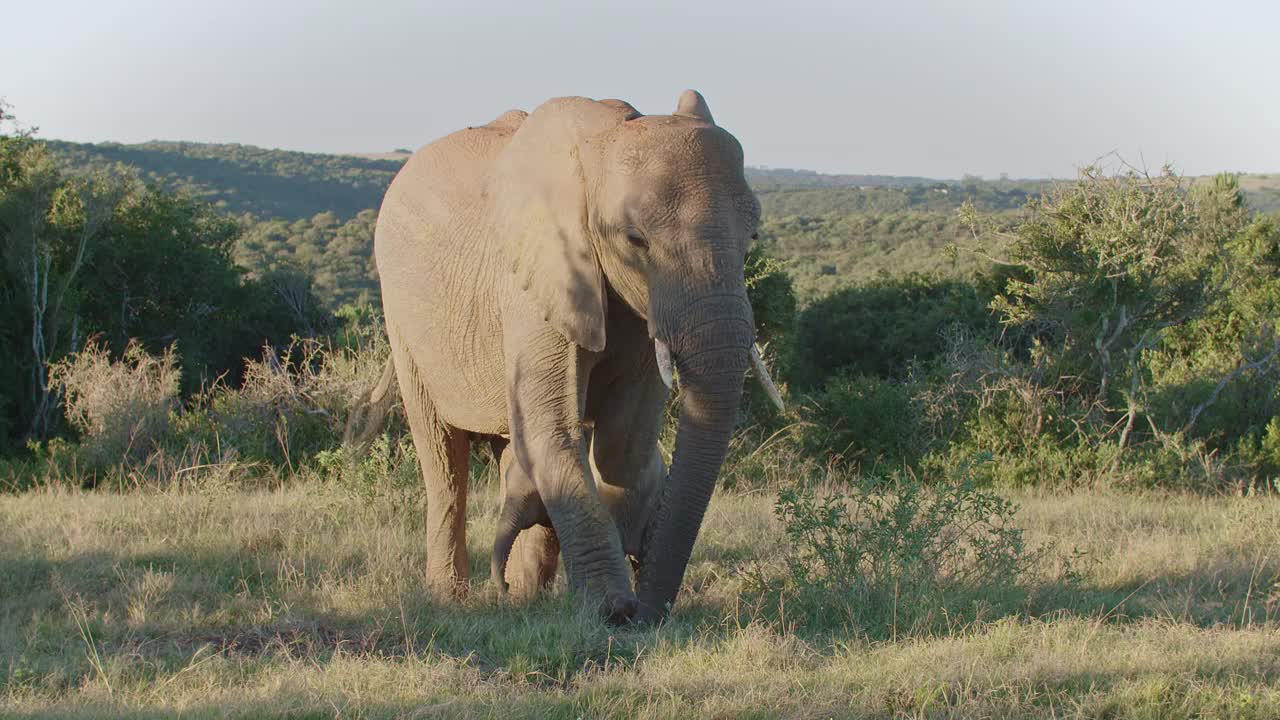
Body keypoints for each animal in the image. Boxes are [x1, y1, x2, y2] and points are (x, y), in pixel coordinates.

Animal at [373, 89, 778, 622]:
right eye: (635, 239)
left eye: (752, 238)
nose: (648, 613)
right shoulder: (537, 276)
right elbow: (553, 425)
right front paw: (609, 609)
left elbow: (622, 442)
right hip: (402, 319)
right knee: (442, 457)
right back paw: (451, 601)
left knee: (512, 446)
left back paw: (525, 598)